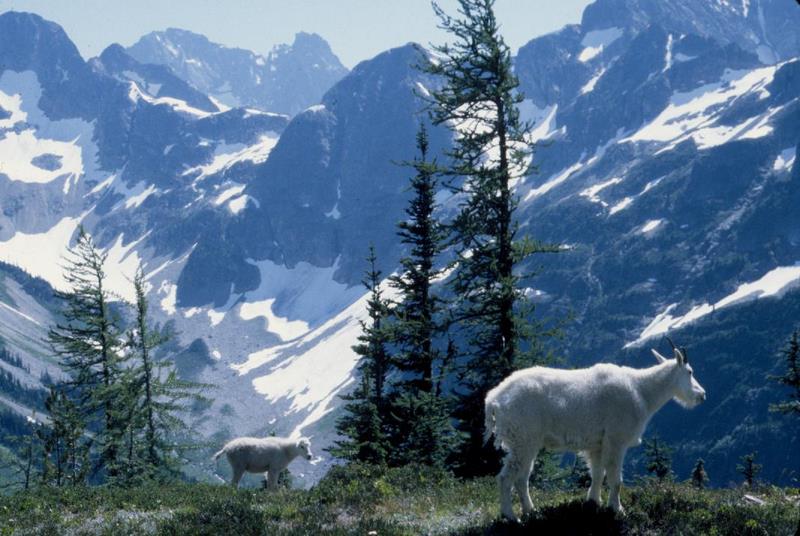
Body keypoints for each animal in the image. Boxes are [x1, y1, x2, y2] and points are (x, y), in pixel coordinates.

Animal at [484, 341, 706, 520]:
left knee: (522, 478)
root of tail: (494, 400)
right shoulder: (616, 440)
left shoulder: (597, 444)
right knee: (506, 477)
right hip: (522, 439)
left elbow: (598, 474)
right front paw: (617, 509)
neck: (642, 391)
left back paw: (531, 511)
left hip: (527, 443)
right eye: (690, 371)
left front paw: (593, 502)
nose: (702, 395)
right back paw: (511, 516)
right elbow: (615, 479)